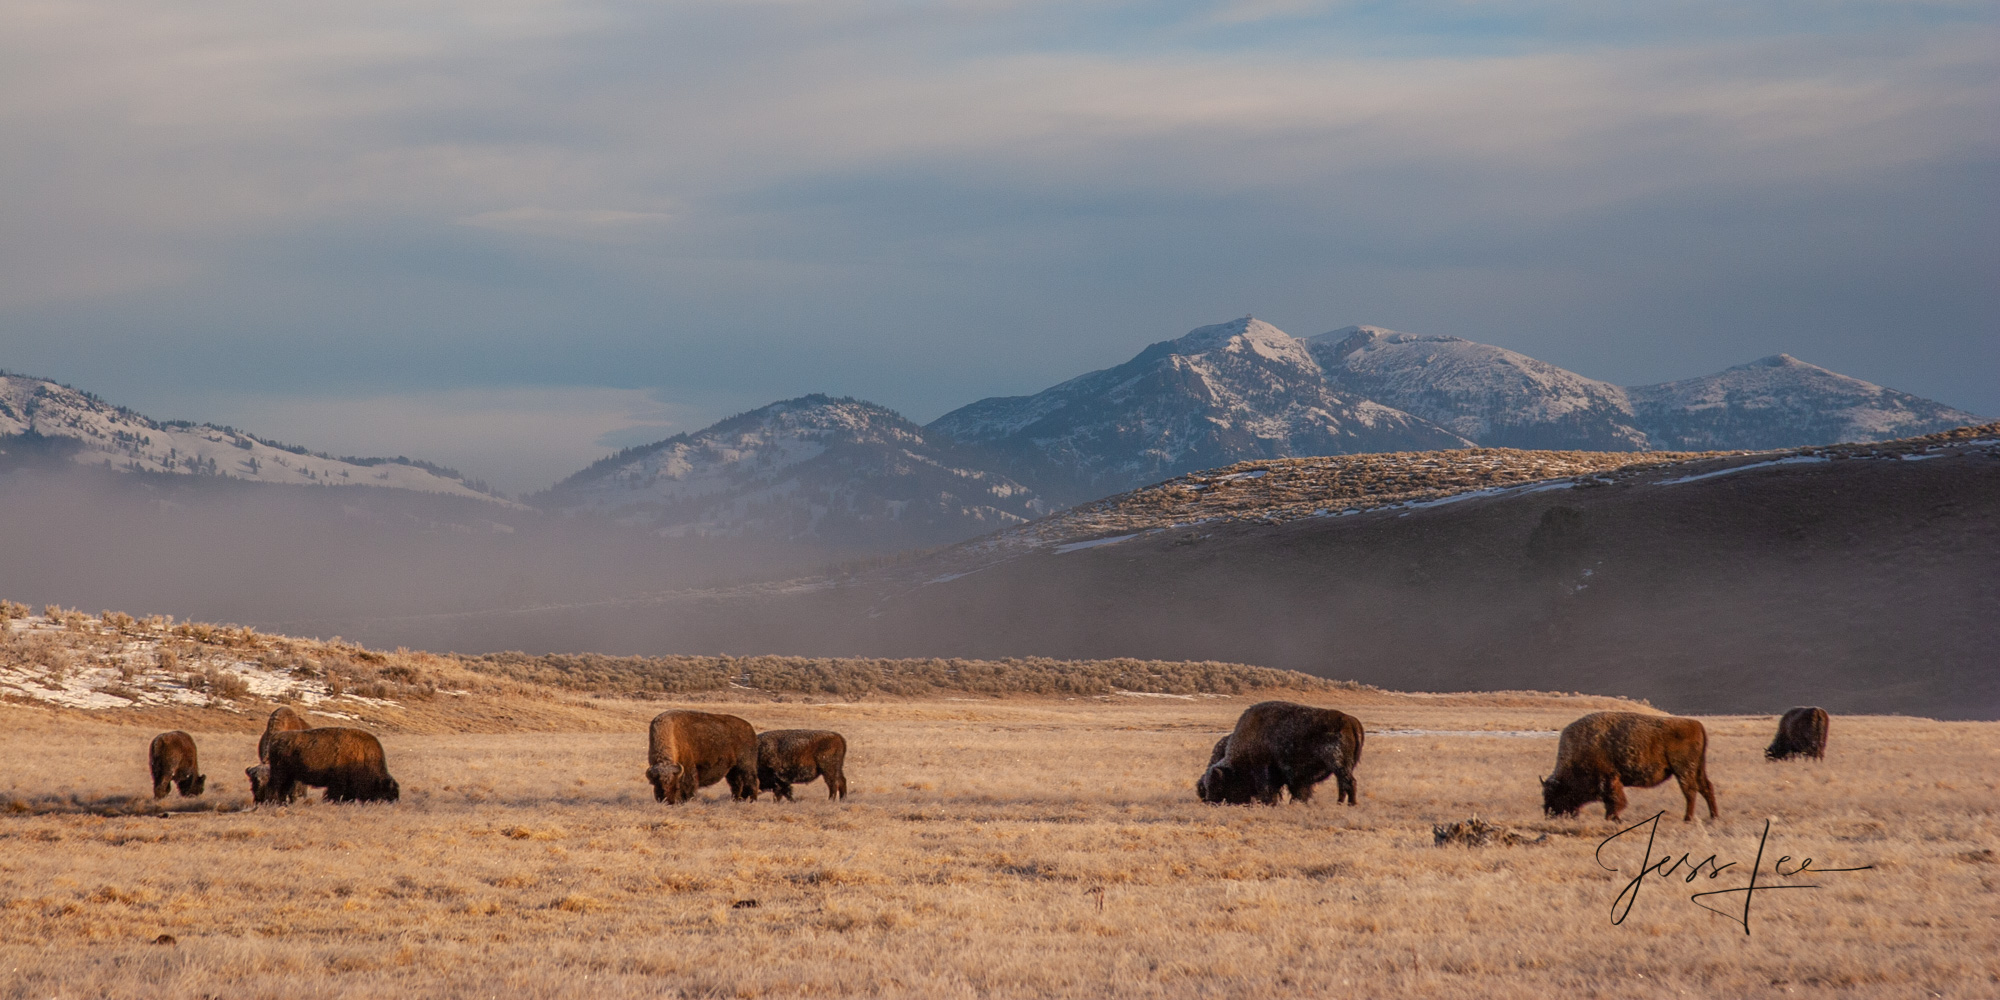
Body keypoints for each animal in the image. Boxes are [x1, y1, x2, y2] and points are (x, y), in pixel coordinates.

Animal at [257, 727, 400, 803]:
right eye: (386, 793)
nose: (393, 803)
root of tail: (276, 738)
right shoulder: (337, 784)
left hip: (290, 776)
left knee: (282, 789)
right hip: (280, 774)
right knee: (274, 787)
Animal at [1197, 701, 1364, 806]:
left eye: (1218, 784)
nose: (1210, 801)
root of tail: (1351, 721)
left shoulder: (1264, 770)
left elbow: (1270, 789)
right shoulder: (1296, 778)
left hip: (1338, 764)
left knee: (1349, 782)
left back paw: (1351, 804)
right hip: (1341, 768)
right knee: (1342, 784)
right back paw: (1340, 803)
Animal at [1542, 711, 1717, 822]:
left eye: (1553, 794)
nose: (1549, 814)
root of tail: (1696, 724)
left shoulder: (1609, 780)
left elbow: (1614, 801)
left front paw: (1612, 818)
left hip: (1683, 770)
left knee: (1690, 792)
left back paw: (1687, 818)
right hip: (1697, 769)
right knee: (1706, 788)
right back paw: (1713, 816)